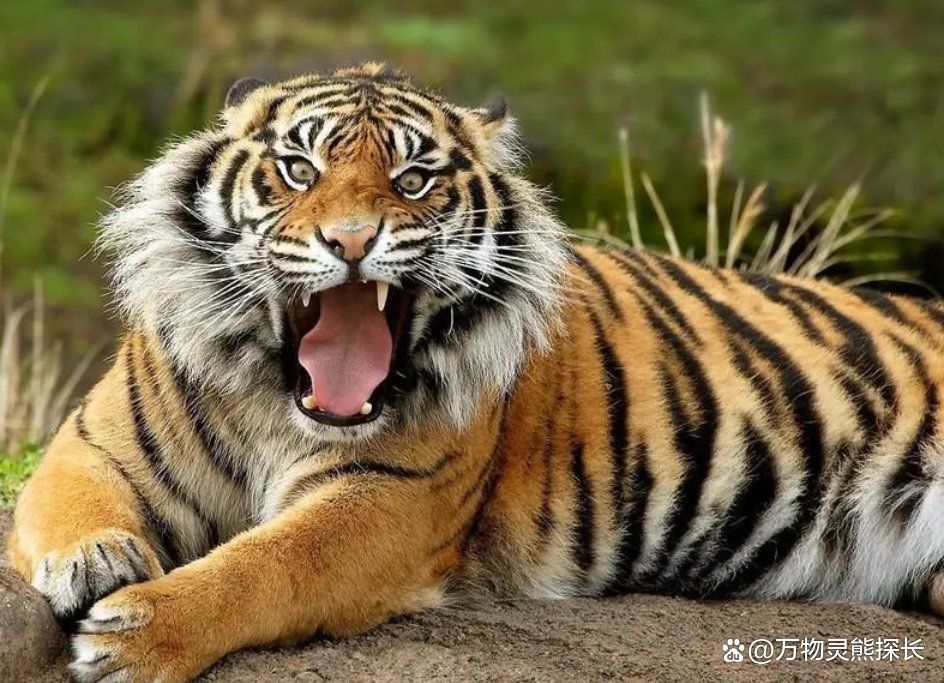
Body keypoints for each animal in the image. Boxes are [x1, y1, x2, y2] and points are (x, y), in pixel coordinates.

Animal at [8, 61, 944, 681]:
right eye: (300, 170)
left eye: (415, 178)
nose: (352, 240)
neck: (279, 402)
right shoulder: (92, 441)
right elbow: (68, 502)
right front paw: (95, 562)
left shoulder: (385, 500)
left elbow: (266, 565)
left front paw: (135, 633)